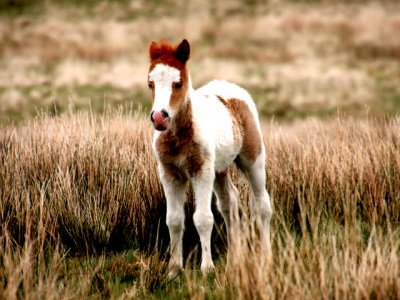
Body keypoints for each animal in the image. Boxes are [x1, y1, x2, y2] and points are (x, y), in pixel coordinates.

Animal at [148, 38, 274, 274]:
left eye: (178, 83)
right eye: (150, 83)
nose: (160, 118)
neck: (179, 136)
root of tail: (232, 88)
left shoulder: (201, 170)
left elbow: (203, 218)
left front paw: (207, 268)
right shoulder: (169, 174)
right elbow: (174, 220)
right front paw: (174, 269)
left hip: (252, 160)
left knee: (262, 204)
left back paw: (266, 256)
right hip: (220, 169)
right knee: (229, 202)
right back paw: (233, 260)